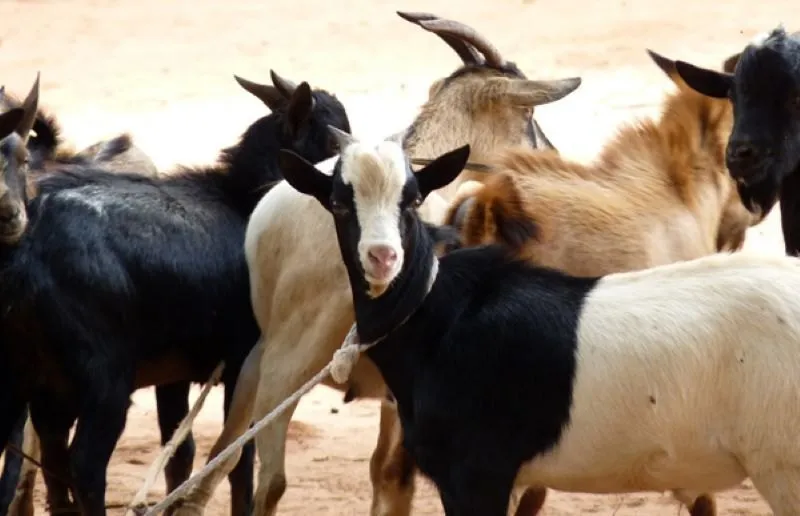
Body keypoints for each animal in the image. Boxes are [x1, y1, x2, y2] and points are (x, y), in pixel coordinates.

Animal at [0, 70, 350, 516]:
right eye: (333, 142)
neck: (243, 201)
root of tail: (29, 248)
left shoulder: (174, 375)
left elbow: (181, 452)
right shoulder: (245, 361)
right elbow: (238, 455)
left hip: (41, 382)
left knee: (52, 456)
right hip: (104, 382)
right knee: (85, 465)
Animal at [173, 11, 581, 516]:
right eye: (528, 114)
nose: (552, 156)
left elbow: (386, 474)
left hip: (260, 354)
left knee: (219, 461)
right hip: (292, 358)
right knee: (271, 480)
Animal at [280, 131, 800, 516]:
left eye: (412, 200)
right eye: (338, 203)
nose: (383, 257)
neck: (441, 316)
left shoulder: (477, 473)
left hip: (783, 465)